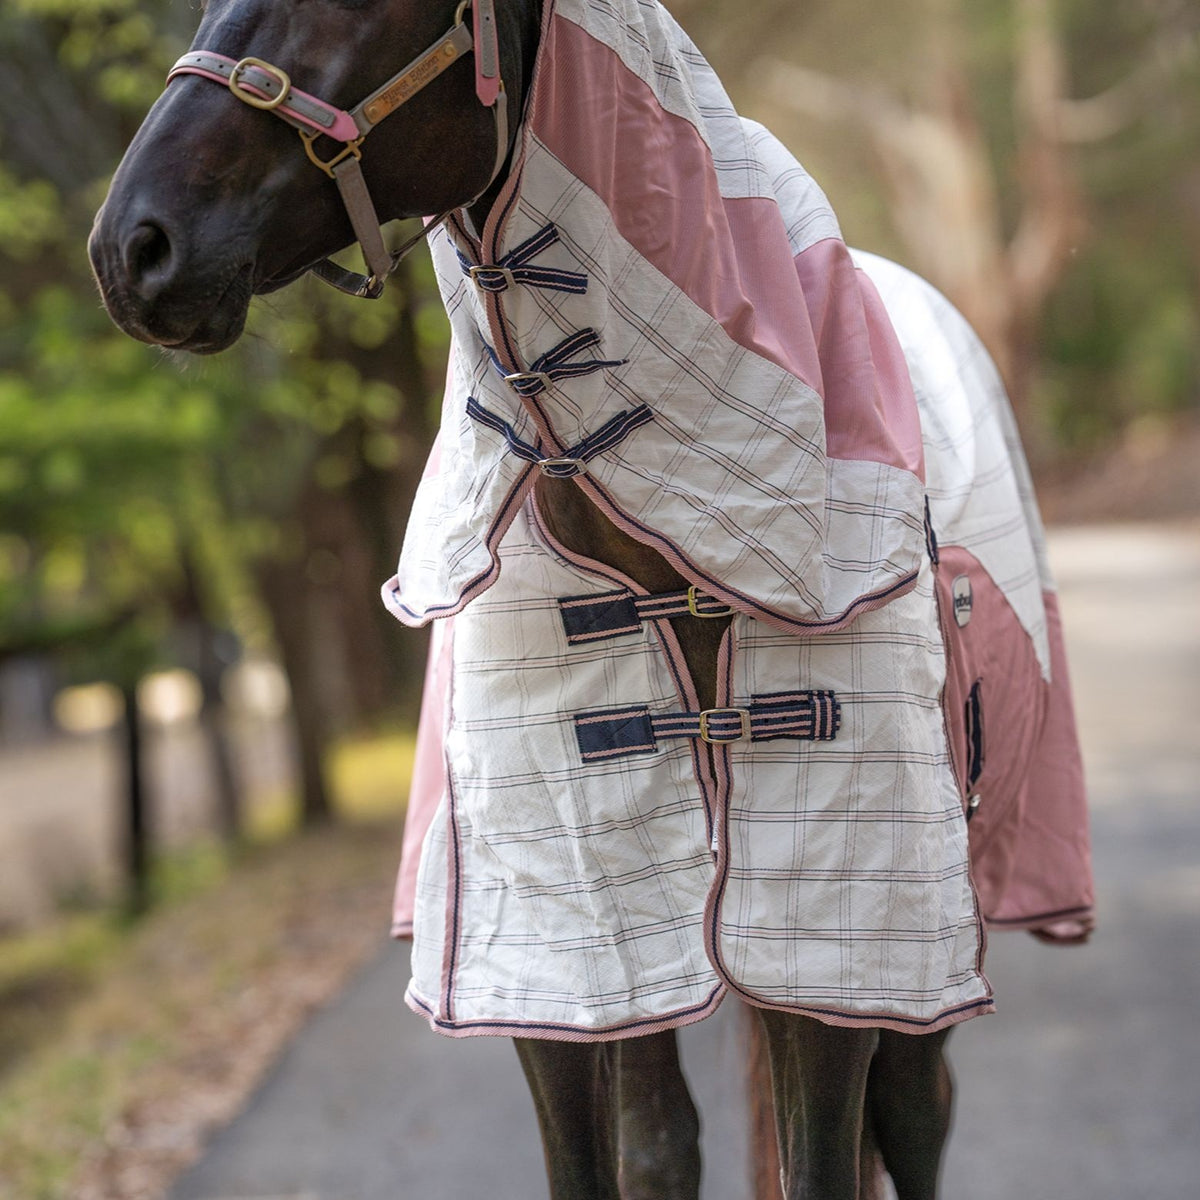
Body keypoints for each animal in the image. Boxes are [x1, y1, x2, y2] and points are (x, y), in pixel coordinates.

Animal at [88, 2, 1094, 1197]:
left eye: (363, 4)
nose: (133, 250)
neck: (672, 559)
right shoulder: (562, 959)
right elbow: (623, 1149)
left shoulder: (837, 946)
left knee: (914, 1113)